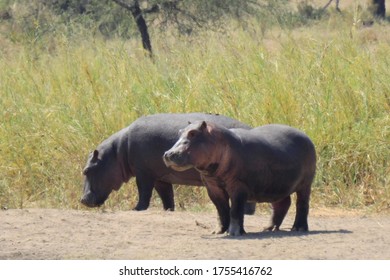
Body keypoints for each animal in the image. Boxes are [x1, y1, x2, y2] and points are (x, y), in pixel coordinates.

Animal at [79, 112, 256, 213]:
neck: (117, 152)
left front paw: (136, 209)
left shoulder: (143, 175)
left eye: (86, 170)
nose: (82, 200)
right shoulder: (160, 178)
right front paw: (168, 210)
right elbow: (166, 196)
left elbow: (144, 193)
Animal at [163, 121, 316, 235]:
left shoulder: (238, 186)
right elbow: (221, 209)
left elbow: (235, 210)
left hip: (305, 184)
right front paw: (218, 231)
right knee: (282, 204)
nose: (168, 154)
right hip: (277, 186)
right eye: (180, 132)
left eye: (193, 133)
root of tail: (306, 136)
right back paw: (268, 229)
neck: (220, 142)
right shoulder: (212, 187)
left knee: (302, 204)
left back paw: (298, 229)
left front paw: (234, 233)